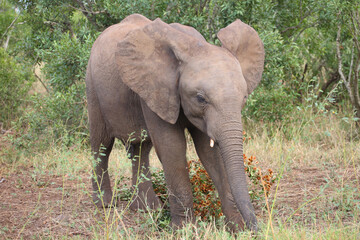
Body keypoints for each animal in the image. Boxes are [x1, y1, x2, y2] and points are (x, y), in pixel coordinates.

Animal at [84, 14, 264, 232]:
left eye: (244, 97)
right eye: (201, 98)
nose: (256, 229)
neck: (195, 45)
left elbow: (208, 152)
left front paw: (235, 227)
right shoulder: (157, 89)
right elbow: (172, 147)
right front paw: (184, 229)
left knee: (141, 148)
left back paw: (146, 208)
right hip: (92, 86)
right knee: (101, 144)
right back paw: (105, 204)